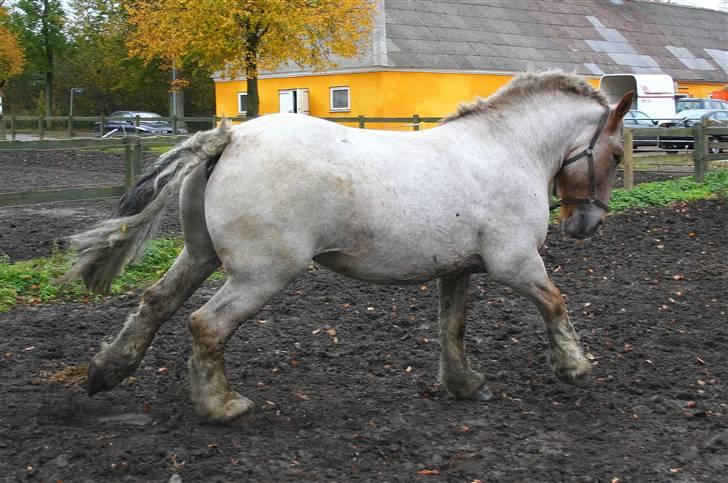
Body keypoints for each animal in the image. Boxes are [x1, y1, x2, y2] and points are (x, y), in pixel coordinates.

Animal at [61, 72, 632, 424]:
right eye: (618, 152)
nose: (587, 223)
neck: (506, 150)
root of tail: (231, 138)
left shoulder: (457, 268)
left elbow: (453, 326)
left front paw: (465, 385)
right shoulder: (515, 263)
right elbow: (554, 303)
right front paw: (574, 367)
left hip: (201, 257)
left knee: (155, 303)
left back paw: (106, 371)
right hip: (261, 274)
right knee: (206, 325)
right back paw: (221, 406)